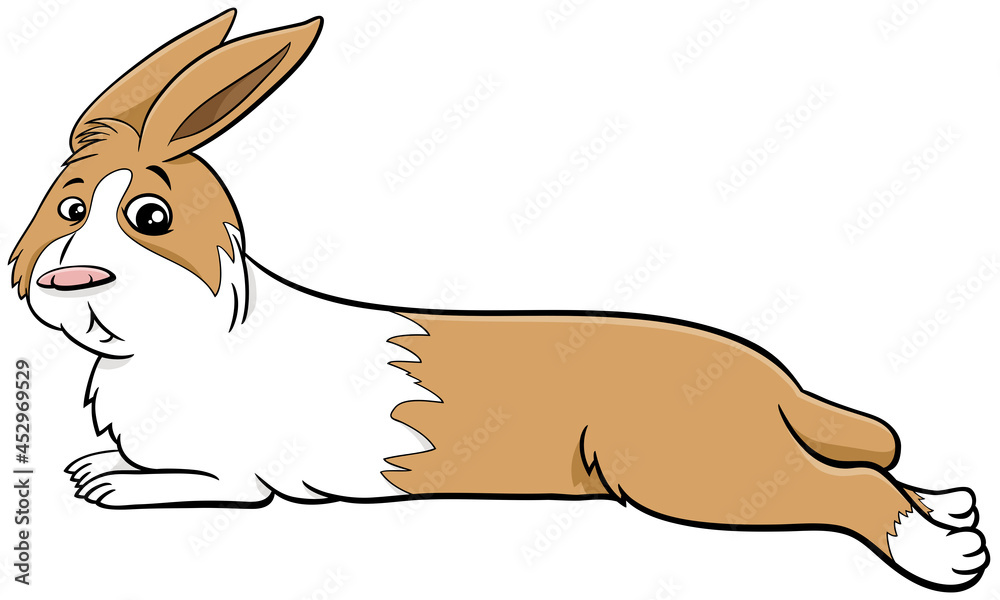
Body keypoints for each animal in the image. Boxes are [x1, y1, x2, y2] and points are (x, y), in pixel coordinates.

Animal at [8, 9, 988, 592]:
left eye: (150, 217)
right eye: (69, 208)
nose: (67, 279)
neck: (194, 335)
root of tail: (772, 382)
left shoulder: (239, 480)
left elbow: (186, 486)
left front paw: (102, 482)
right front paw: (91, 465)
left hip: (694, 475)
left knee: (847, 489)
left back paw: (945, 554)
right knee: (869, 467)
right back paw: (954, 508)